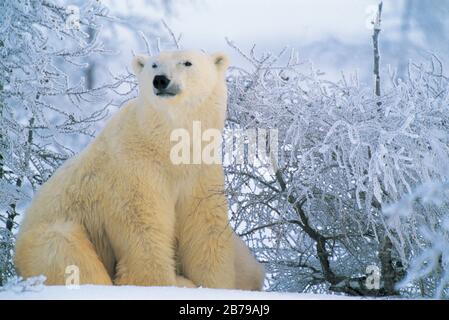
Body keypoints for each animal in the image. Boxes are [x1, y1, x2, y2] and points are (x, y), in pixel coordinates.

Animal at [15, 49, 264, 290]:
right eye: (154, 64)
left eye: (187, 62)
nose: (160, 80)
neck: (164, 146)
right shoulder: (135, 169)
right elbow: (144, 229)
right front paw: (160, 283)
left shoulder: (200, 170)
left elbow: (205, 227)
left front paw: (214, 286)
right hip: (47, 237)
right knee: (68, 252)